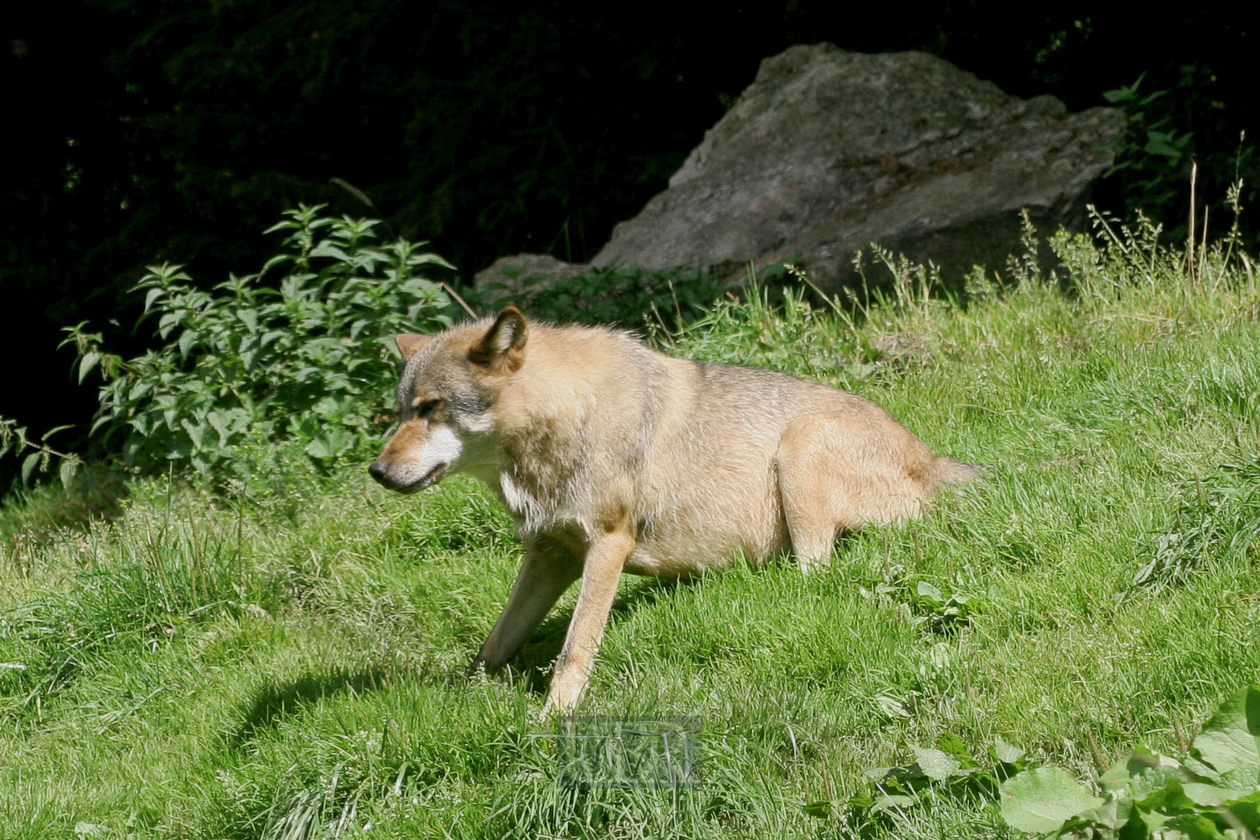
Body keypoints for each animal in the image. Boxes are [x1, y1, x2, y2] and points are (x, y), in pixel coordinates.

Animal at [365, 308, 972, 715]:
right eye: (399, 412)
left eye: (432, 408)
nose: (376, 470)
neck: (568, 418)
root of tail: (936, 461)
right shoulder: (550, 554)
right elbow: (493, 644)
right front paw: (461, 703)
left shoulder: (609, 543)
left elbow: (573, 649)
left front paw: (552, 721)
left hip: (800, 446)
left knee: (811, 575)